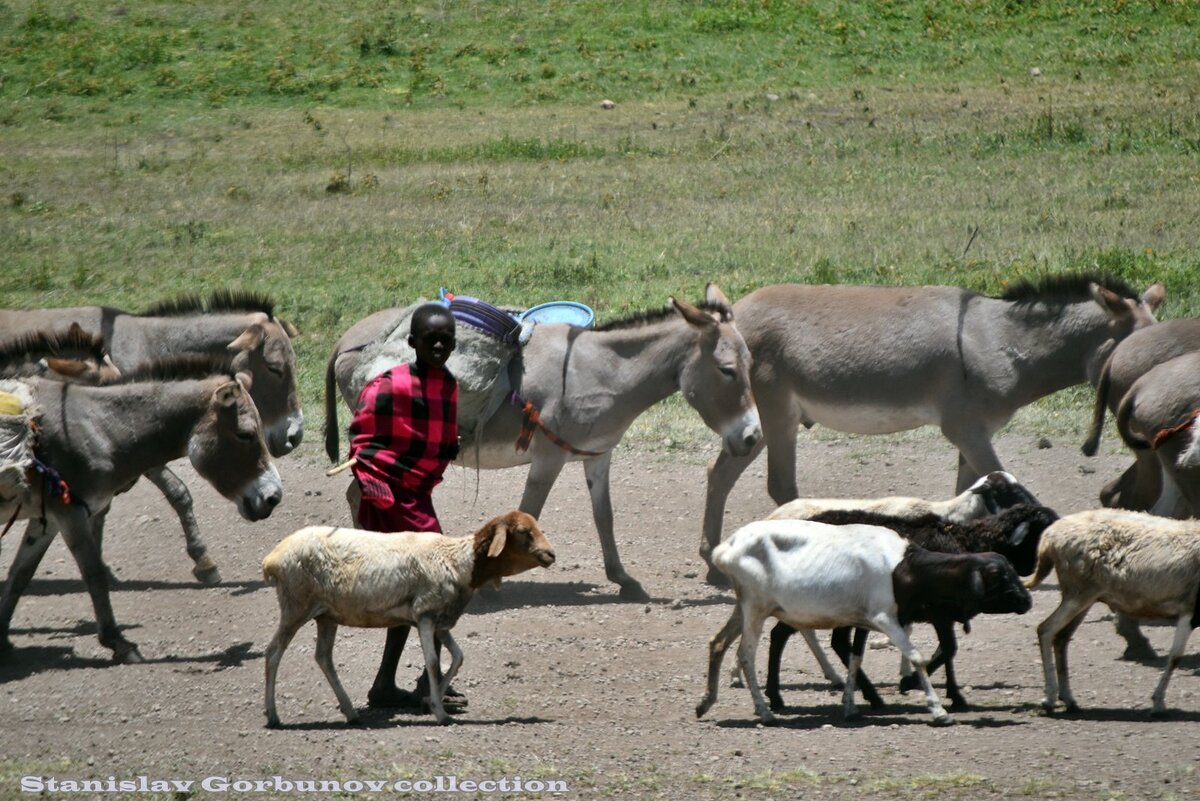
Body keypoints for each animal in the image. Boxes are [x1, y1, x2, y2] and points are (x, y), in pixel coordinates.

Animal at [262, 513, 552, 724]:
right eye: (524, 531)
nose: (551, 554)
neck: (459, 561)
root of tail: (272, 559)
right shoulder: (425, 614)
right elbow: (433, 662)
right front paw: (440, 712)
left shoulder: (441, 620)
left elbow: (457, 657)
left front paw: (432, 701)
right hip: (295, 605)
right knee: (274, 652)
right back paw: (273, 715)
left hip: (326, 614)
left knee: (323, 657)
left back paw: (351, 713)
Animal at [696, 515, 1032, 729]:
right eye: (1001, 575)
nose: (1027, 601)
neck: (904, 567)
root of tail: (726, 548)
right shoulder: (886, 618)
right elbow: (916, 657)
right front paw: (938, 711)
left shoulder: (862, 620)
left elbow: (855, 658)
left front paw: (850, 707)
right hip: (755, 608)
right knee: (745, 655)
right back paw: (765, 712)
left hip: (744, 607)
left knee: (717, 643)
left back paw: (706, 702)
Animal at [1022, 510, 1200, 714]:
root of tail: (1048, 536)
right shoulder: (1189, 610)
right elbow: (1175, 657)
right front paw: (1158, 704)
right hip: (1078, 592)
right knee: (1046, 629)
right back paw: (1050, 699)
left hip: (1084, 598)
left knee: (1061, 638)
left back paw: (1068, 699)